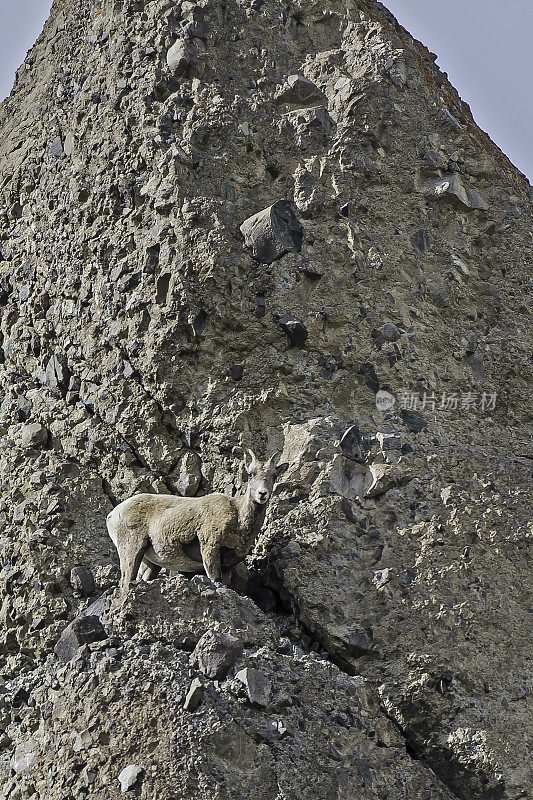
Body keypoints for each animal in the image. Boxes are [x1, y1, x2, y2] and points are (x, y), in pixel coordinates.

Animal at [105, 450, 280, 592]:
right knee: (126, 580)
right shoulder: (210, 548)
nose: (262, 494)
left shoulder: (227, 566)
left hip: (150, 563)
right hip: (132, 549)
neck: (239, 520)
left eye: (274, 476)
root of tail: (112, 515)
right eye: (250, 474)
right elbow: (214, 579)